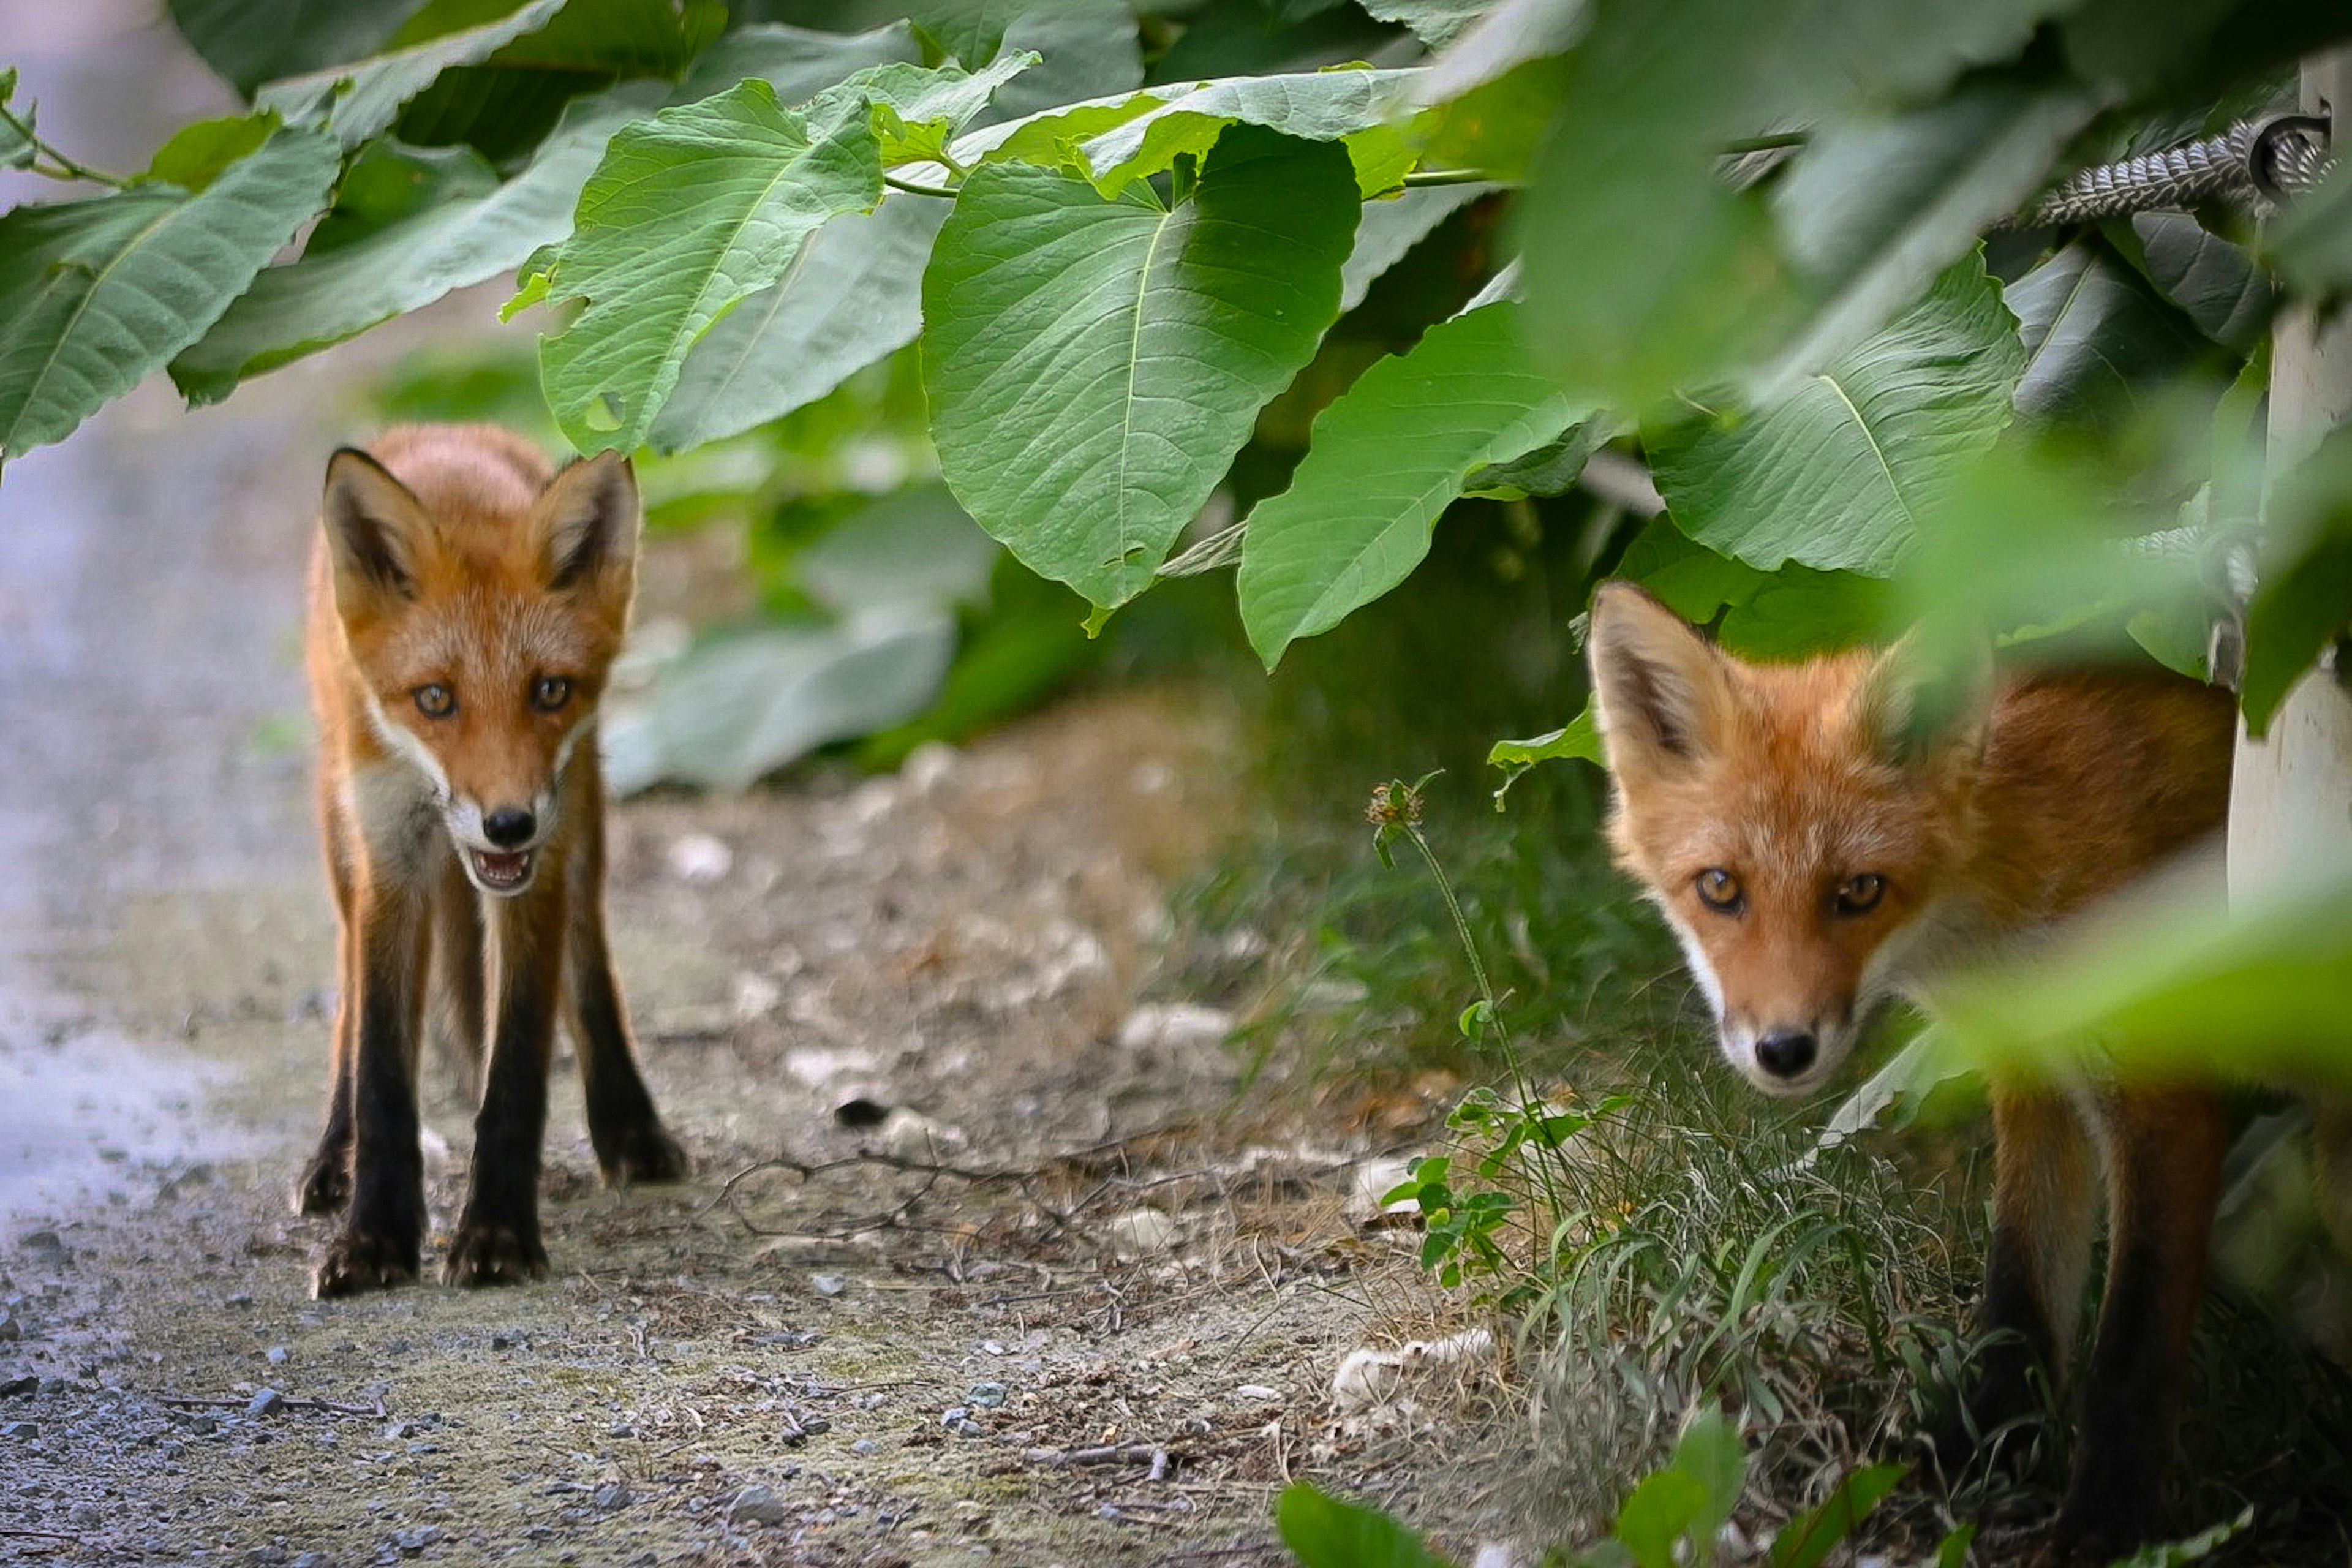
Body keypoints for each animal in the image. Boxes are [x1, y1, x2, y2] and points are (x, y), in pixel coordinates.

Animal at [298, 425, 687, 1297]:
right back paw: (332, 1155)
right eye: (435, 699)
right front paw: (373, 1235)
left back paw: (630, 1127)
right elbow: (381, 1070)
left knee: (588, 968)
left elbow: (512, 1077)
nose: (508, 825)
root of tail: (444, 431)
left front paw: (499, 1230)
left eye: (550, 690)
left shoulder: (537, 872)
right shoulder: (390, 861)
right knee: (346, 993)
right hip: (341, 837)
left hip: (581, 821)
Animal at [1589, 582, 2230, 1561]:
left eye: (1859, 891)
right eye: (1720, 888)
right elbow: (2020, 1293)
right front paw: (1970, 1450)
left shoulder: (2163, 1090)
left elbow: (2130, 1348)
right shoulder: (2031, 1070)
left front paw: (2105, 1526)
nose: (1784, 1049)